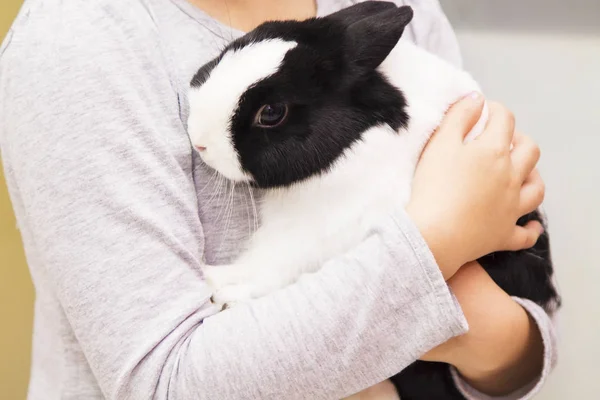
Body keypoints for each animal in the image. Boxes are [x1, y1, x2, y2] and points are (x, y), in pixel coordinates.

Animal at [189, 1, 564, 398]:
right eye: (230, 51)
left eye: (272, 113)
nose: (198, 141)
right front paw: (216, 281)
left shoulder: (324, 235)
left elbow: (279, 267)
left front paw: (222, 290)